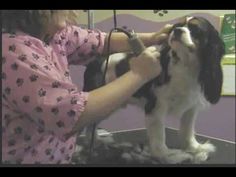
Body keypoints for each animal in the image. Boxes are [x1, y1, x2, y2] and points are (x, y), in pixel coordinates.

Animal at [83, 16, 225, 163]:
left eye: (195, 29)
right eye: (177, 26)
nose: (177, 31)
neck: (185, 65)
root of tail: (96, 61)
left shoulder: (191, 108)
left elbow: (188, 129)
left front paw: (195, 148)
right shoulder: (156, 107)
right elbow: (159, 135)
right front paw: (167, 155)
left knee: (91, 126)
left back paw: (96, 141)